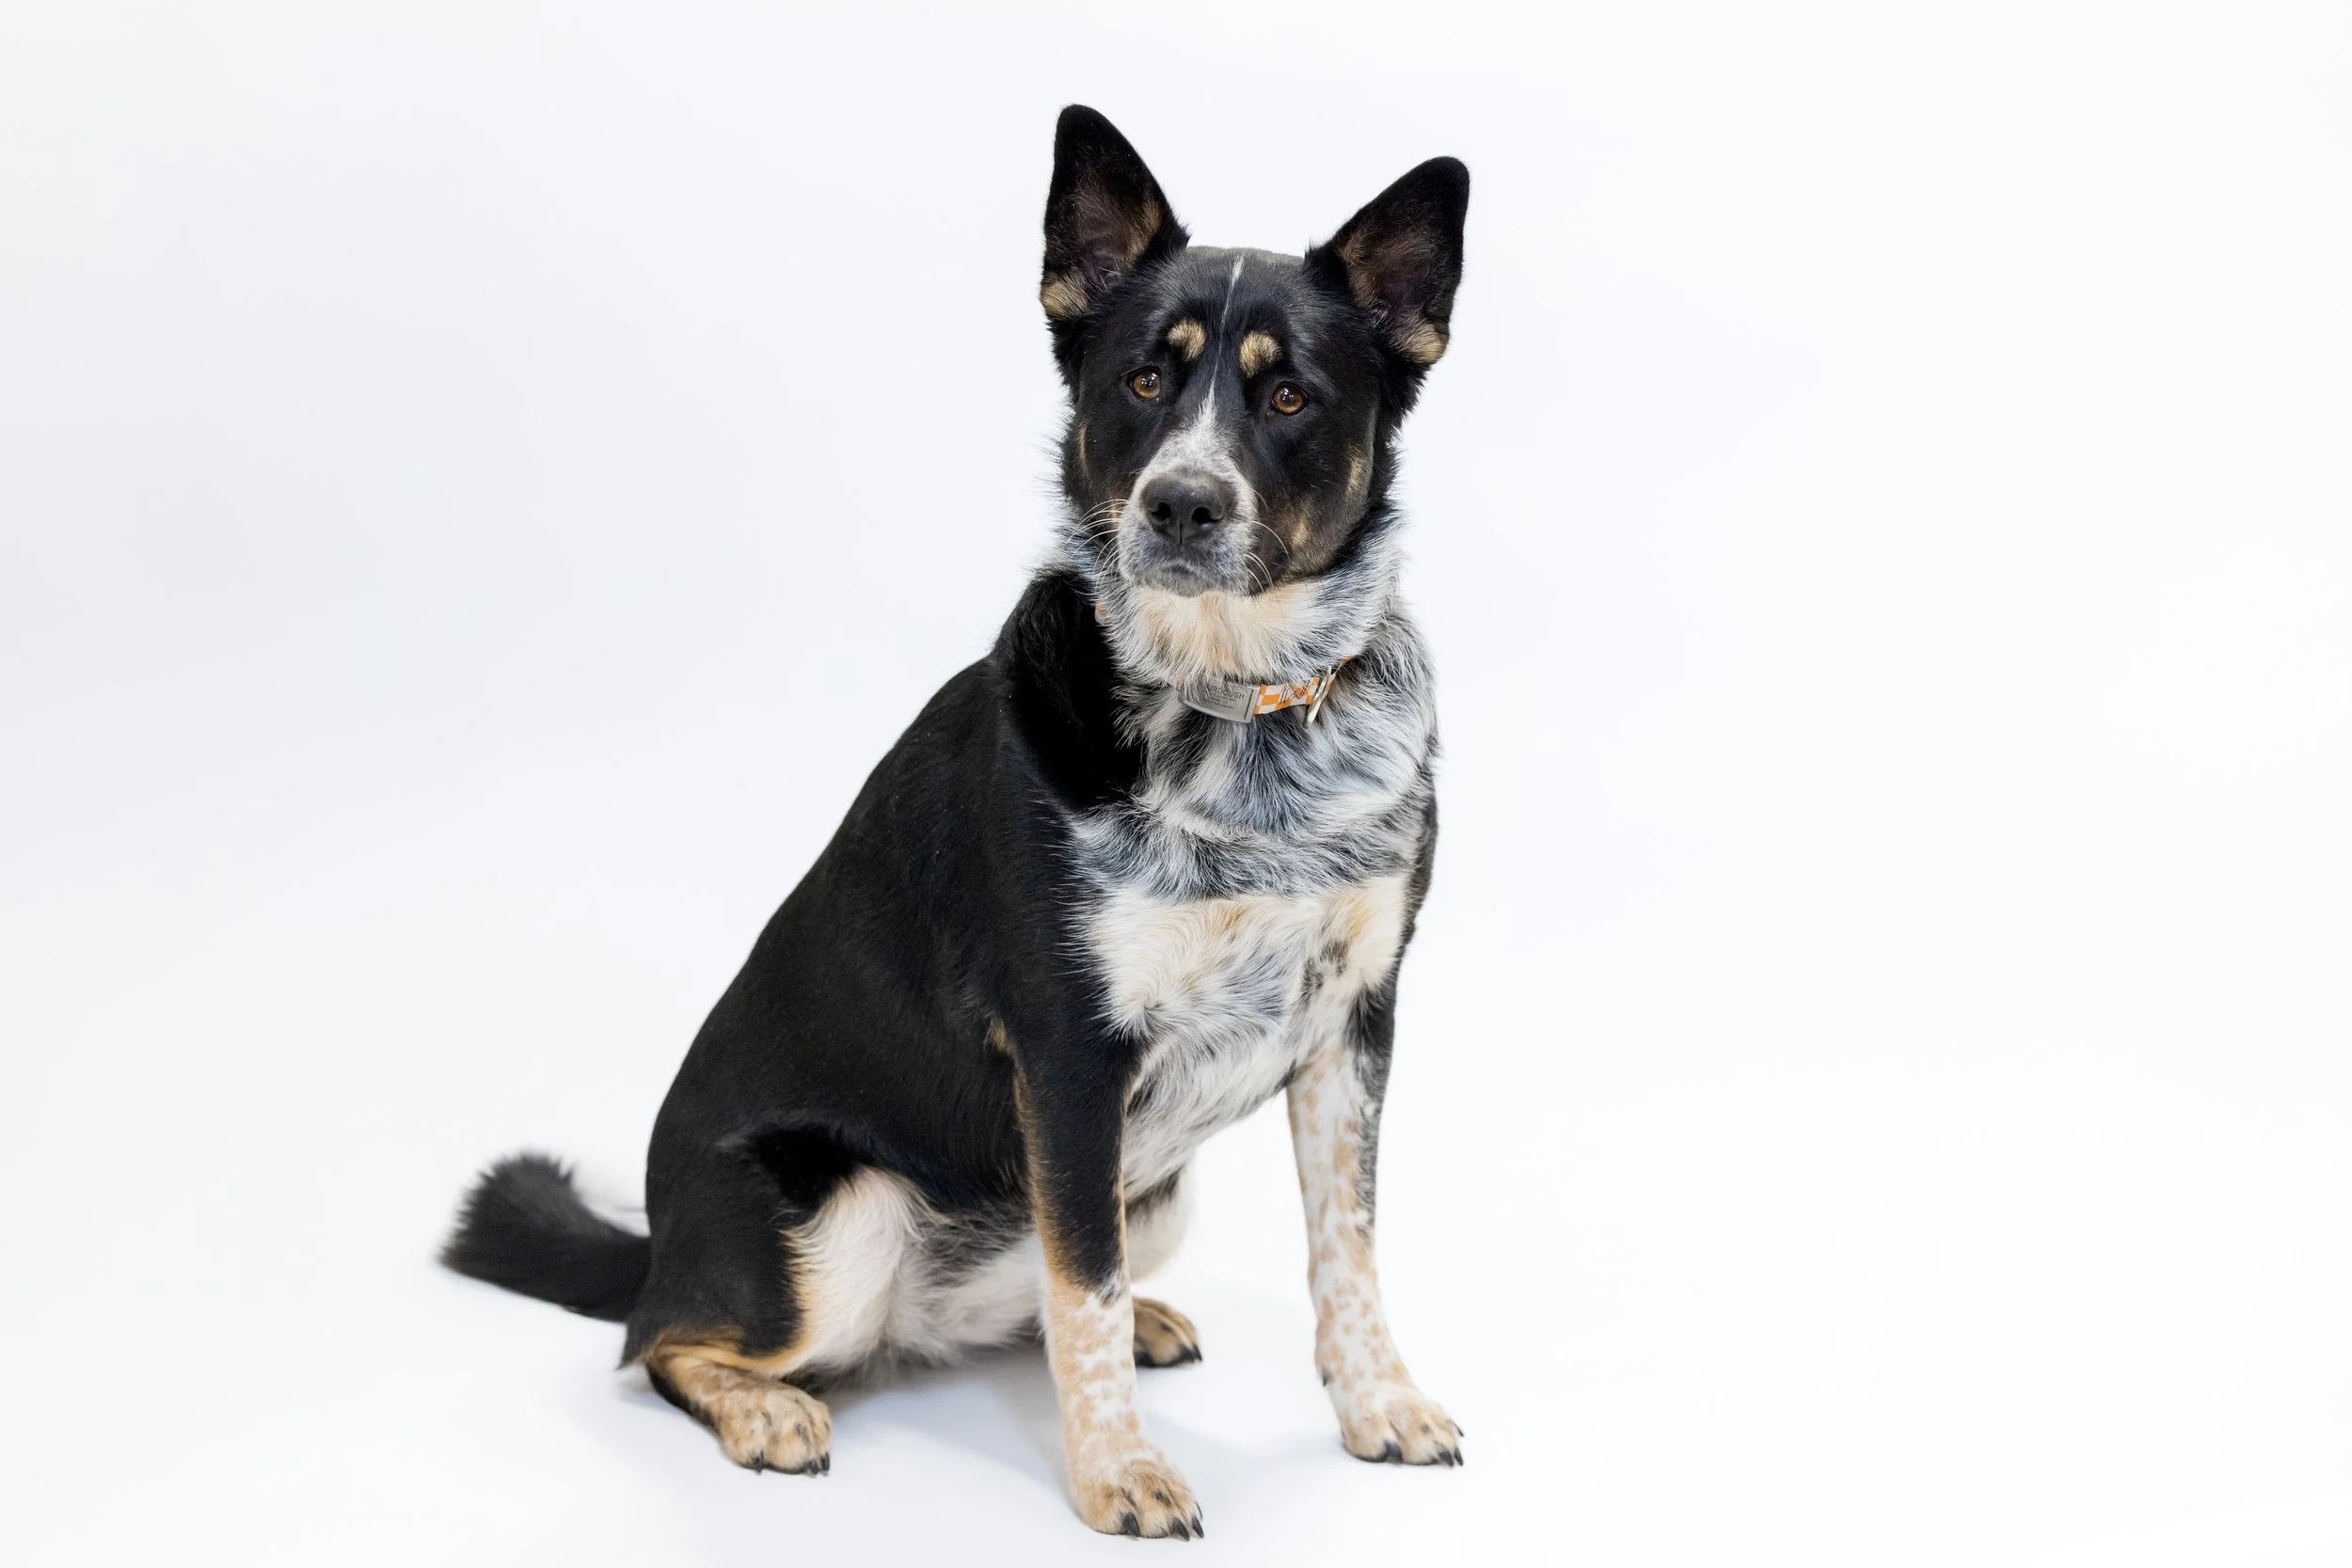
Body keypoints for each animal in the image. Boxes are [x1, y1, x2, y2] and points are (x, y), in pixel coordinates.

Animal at [444, 104, 1469, 1540]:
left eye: (1288, 397)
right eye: (1142, 383)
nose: (1180, 504)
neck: (1235, 711)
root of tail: (658, 1242)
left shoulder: (1353, 1023)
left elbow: (1346, 1245)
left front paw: (1377, 1402)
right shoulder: (1071, 1052)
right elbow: (1080, 1283)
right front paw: (1119, 1471)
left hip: (1148, 1188)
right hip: (843, 1214)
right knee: (661, 1345)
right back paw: (765, 1403)